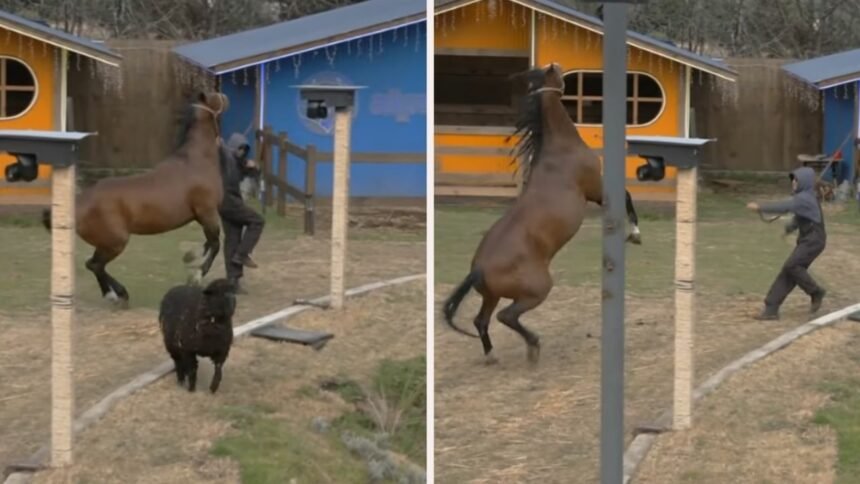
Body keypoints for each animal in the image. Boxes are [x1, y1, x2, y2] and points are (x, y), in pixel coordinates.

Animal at [42, 91, 229, 308]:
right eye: (214, 96)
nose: (225, 96)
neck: (196, 161)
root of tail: (79, 204)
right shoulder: (208, 212)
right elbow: (215, 244)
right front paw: (197, 276)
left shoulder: (202, 217)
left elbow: (208, 243)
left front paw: (191, 257)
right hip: (116, 242)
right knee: (95, 265)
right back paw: (117, 294)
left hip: (107, 244)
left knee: (94, 265)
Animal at [442, 62, 642, 365]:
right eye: (557, 72)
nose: (563, 70)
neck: (560, 149)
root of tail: (477, 269)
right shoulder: (597, 191)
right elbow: (627, 196)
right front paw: (635, 234)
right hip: (537, 290)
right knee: (505, 316)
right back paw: (533, 346)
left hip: (491, 296)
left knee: (481, 320)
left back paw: (492, 355)